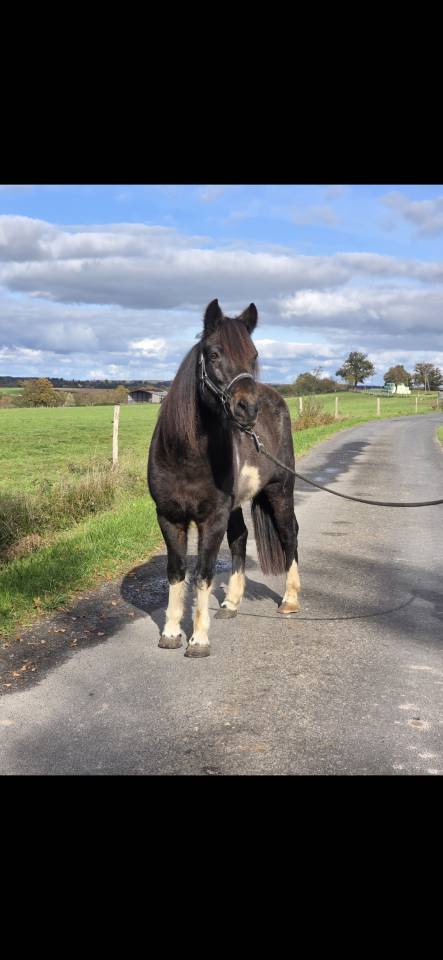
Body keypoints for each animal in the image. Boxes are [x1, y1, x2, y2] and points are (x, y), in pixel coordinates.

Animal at [147, 298, 300, 658]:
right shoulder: (169, 517)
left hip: (280, 491)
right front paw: (171, 632)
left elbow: (203, 574)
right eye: (214, 354)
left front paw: (199, 639)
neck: (186, 455)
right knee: (241, 537)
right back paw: (231, 602)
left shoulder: (212, 518)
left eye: (254, 355)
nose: (248, 409)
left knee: (289, 536)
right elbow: (176, 571)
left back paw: (290, 599)